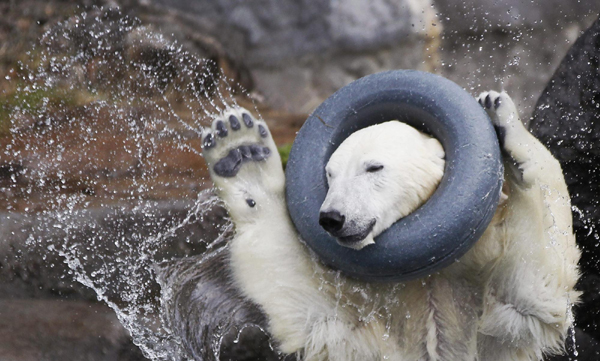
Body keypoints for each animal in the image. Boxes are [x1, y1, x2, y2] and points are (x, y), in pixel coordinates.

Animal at [198, 90, 580, 360]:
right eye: (330, 174)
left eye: (373, 167)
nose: (332, 218)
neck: (428, 274)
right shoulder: (366, 321)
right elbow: (314, 314)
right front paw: (241, 151)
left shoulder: (488, 281)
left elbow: (526, 299)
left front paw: (504, 125)